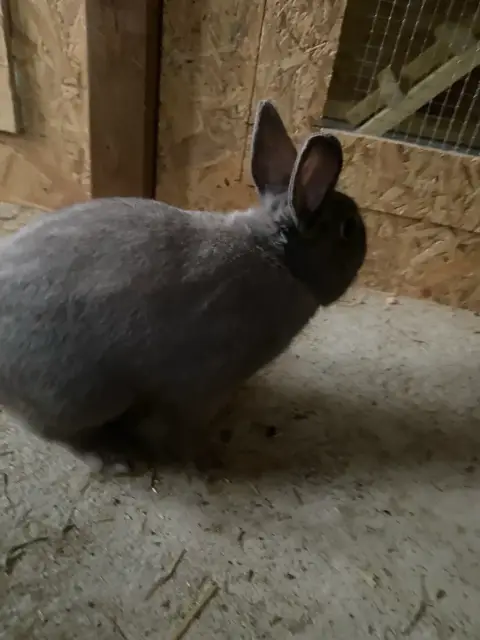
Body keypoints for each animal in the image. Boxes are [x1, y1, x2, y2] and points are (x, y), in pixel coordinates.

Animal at [0, 100, 366, 471]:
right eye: (348, 228)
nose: (364, 248)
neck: (279, 256)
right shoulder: (202, 388)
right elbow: (182, 431)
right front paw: (210, 462)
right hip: (86, 397)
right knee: (61, 436)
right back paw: (112, 459)